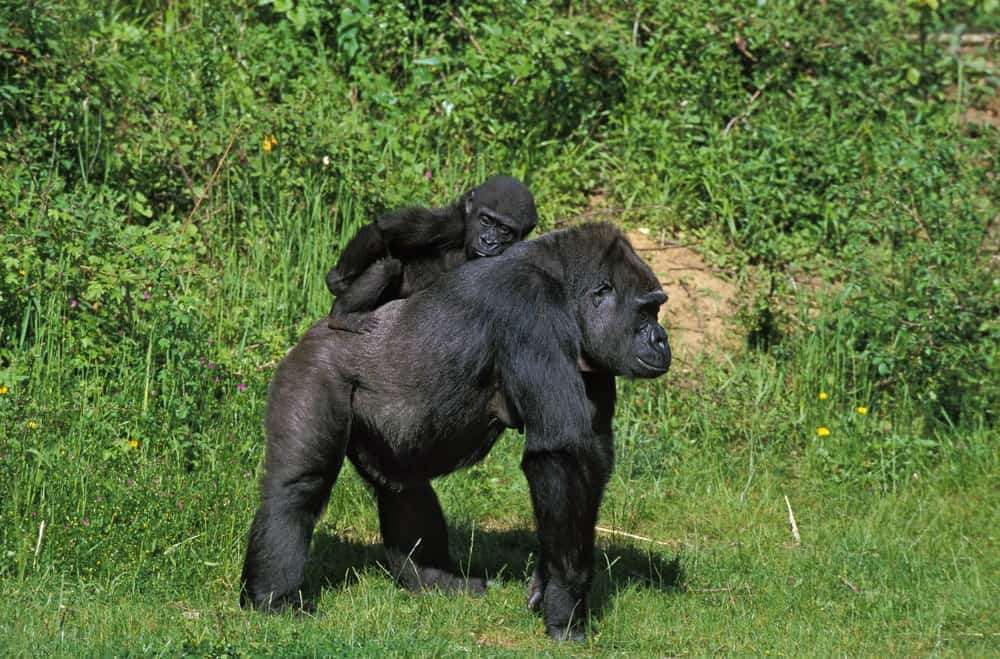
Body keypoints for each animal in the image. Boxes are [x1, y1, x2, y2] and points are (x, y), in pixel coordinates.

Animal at [238, 222, 668, 640]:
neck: (564, 286)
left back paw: (433, 579)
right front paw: (565, 601)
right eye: (647, 312)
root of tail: (315, 329)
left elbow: (586, 462)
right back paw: (272, 598)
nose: (662, 339)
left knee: (400, 484)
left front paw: (546, 581)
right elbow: (561, 455)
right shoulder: (532, 309)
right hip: (312, 367)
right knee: (298, 488)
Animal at [324, 174, 536, 332]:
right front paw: (338, 280)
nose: (489, 241)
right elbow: (384, 229)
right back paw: (341, 316)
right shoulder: (446, 224)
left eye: (505, 230)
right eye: (485, 220)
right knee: (388, 266)